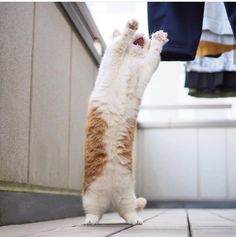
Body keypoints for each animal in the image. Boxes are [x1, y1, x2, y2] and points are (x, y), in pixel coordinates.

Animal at [82, 19, 168, 226]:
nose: (143, 34)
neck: (132, 60)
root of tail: (110, 200)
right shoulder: (113, 55)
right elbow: (120, 43)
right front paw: (130, 27)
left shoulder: (146, 68)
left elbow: (154, 56)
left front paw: (158, 39)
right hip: (91, 196)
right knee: (93, 212)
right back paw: (90, 220)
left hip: (126, 195)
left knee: (128, 211)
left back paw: (135, 220)